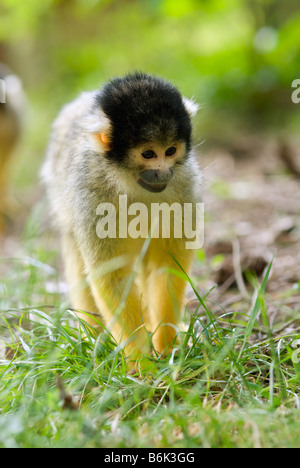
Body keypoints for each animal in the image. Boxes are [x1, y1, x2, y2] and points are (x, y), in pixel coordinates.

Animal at [41, 73, 202, 368]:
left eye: (170, 150)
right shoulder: (90, 192)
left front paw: (166, 345)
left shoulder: (185, 183)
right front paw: (141, 363)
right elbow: (111, 275)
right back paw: (93, 337)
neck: (130, 182)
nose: (163, 173)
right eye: (149, 154)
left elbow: (167, 267)